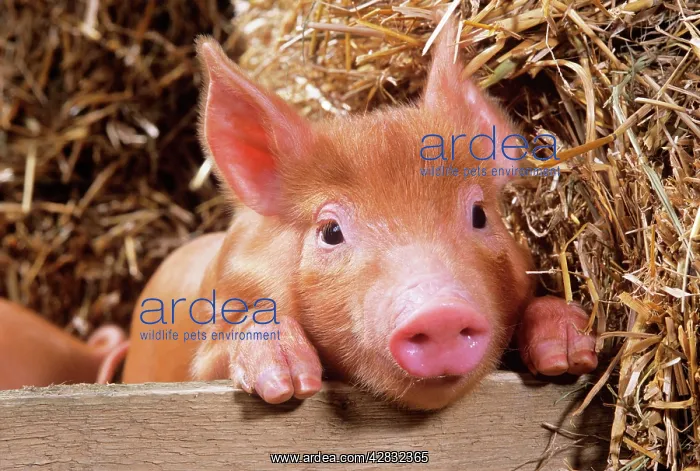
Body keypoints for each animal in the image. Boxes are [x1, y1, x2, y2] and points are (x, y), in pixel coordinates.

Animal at [122, 18, 597, 410]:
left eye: (479, 214)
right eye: (331, 231)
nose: (440, 311)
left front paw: (569, 353)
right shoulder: (215, 326)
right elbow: (217, 356)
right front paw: (287, 382)